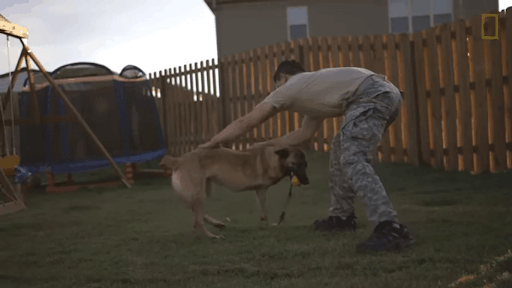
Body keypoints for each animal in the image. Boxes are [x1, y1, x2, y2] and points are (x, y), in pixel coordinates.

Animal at [160, 146, 310, 238]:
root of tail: (177, 160)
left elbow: (263, 212)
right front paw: (269, 225)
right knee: (197, 221)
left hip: (205, 190)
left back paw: (217, 224)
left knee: (197, 213)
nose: (307, 182)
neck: (273, 160)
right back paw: (213, 237)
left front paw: (264, 224)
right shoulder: (261, 190)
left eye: (305, 164)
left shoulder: (259, 191)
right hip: (200, 194)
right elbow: (265, 211)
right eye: (297, 164)